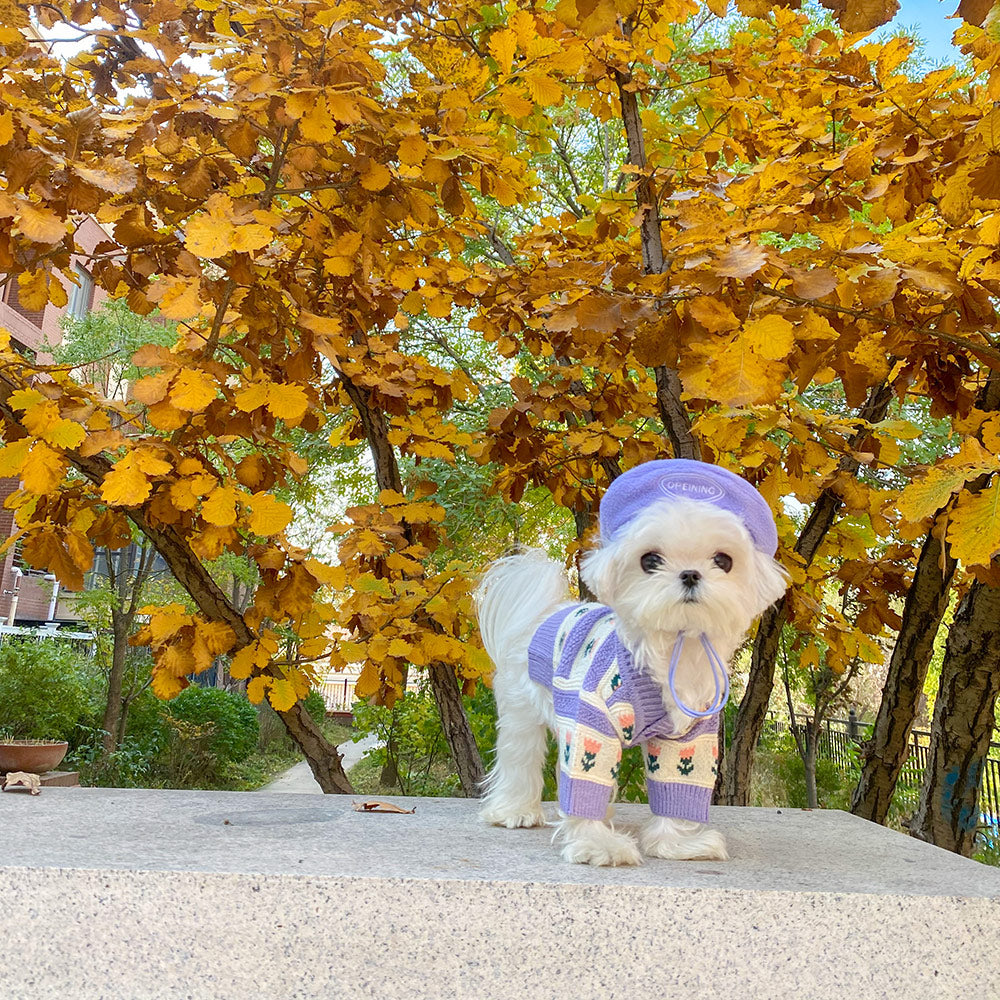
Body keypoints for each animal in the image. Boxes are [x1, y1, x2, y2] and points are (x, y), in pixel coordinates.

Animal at [472, 458, 784, 864]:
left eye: (723, 560)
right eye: (650, 560)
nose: (690, 573)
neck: (672, 648)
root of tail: (543, 614)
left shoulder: (690, 735)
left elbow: (677, 782)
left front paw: (678, 843)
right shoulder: (590, 719)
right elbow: (586, 778)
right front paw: (597, 844)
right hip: (523, 709)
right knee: (519, 758)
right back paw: (514, 811)